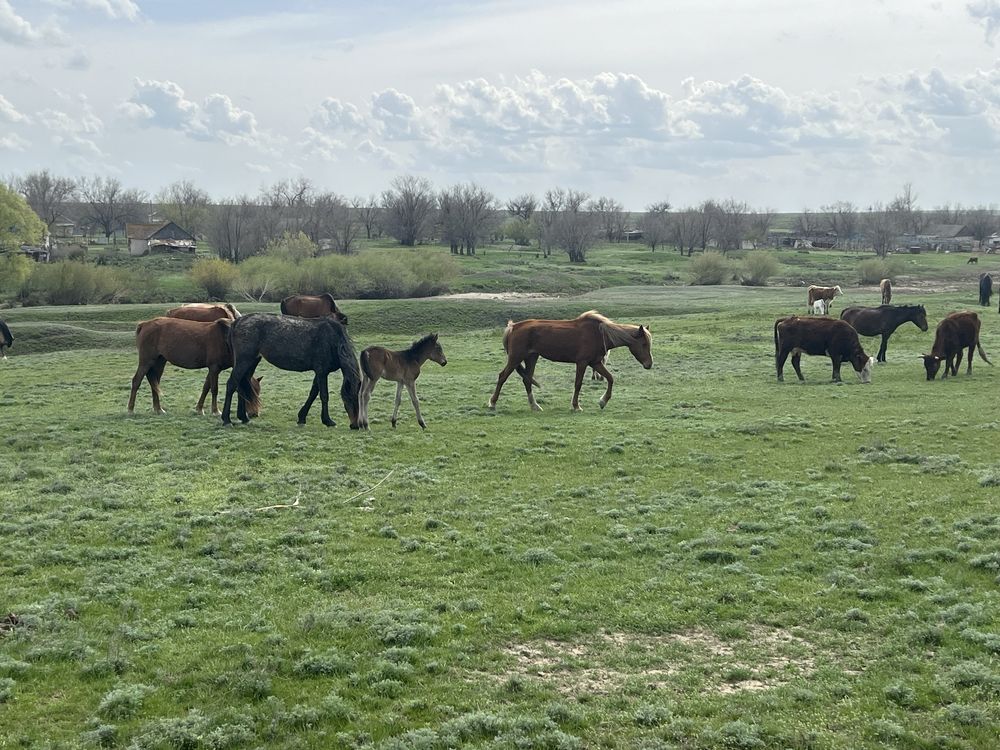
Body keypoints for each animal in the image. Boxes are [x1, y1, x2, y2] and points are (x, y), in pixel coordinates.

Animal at [128, 318, 262, 420]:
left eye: (258, 391)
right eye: (249, 391)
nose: (254, 413)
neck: (226, 338)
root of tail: (144, 324)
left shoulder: (213, 369)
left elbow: (206, 388)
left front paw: (199, 409)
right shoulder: (214, 368)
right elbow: (214, 389)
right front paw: (215, 411)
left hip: (160, 361)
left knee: (154, 383)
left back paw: (158, 409)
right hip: (146, 361)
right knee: (136, 381)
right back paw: (130, 409)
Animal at [221, 312, 362, 428]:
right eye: (350, 398)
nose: (355, 425)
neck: (333, 339)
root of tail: (238, 321)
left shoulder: (320, 372)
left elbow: (313, 393)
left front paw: (302, 418)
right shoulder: (322, 372)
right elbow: (324, 395)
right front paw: (328, 420)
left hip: (252, 362)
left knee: (242, 385)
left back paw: (243, 418)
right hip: (244, 360)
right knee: (231, 384)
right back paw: (227, 420)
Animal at [486, 310, 656, 412]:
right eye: (644, 344)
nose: (649, 364)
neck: (599, 334)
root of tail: (513, 327)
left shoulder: (595, 363)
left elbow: (610, 378)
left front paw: (603, 401)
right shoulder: (582, 363)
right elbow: (578, 384)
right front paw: (576, 406)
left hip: (531, 358)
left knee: (527, 380)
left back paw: (535, 406)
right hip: (516, 358)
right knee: (502, 377)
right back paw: (493, 403)